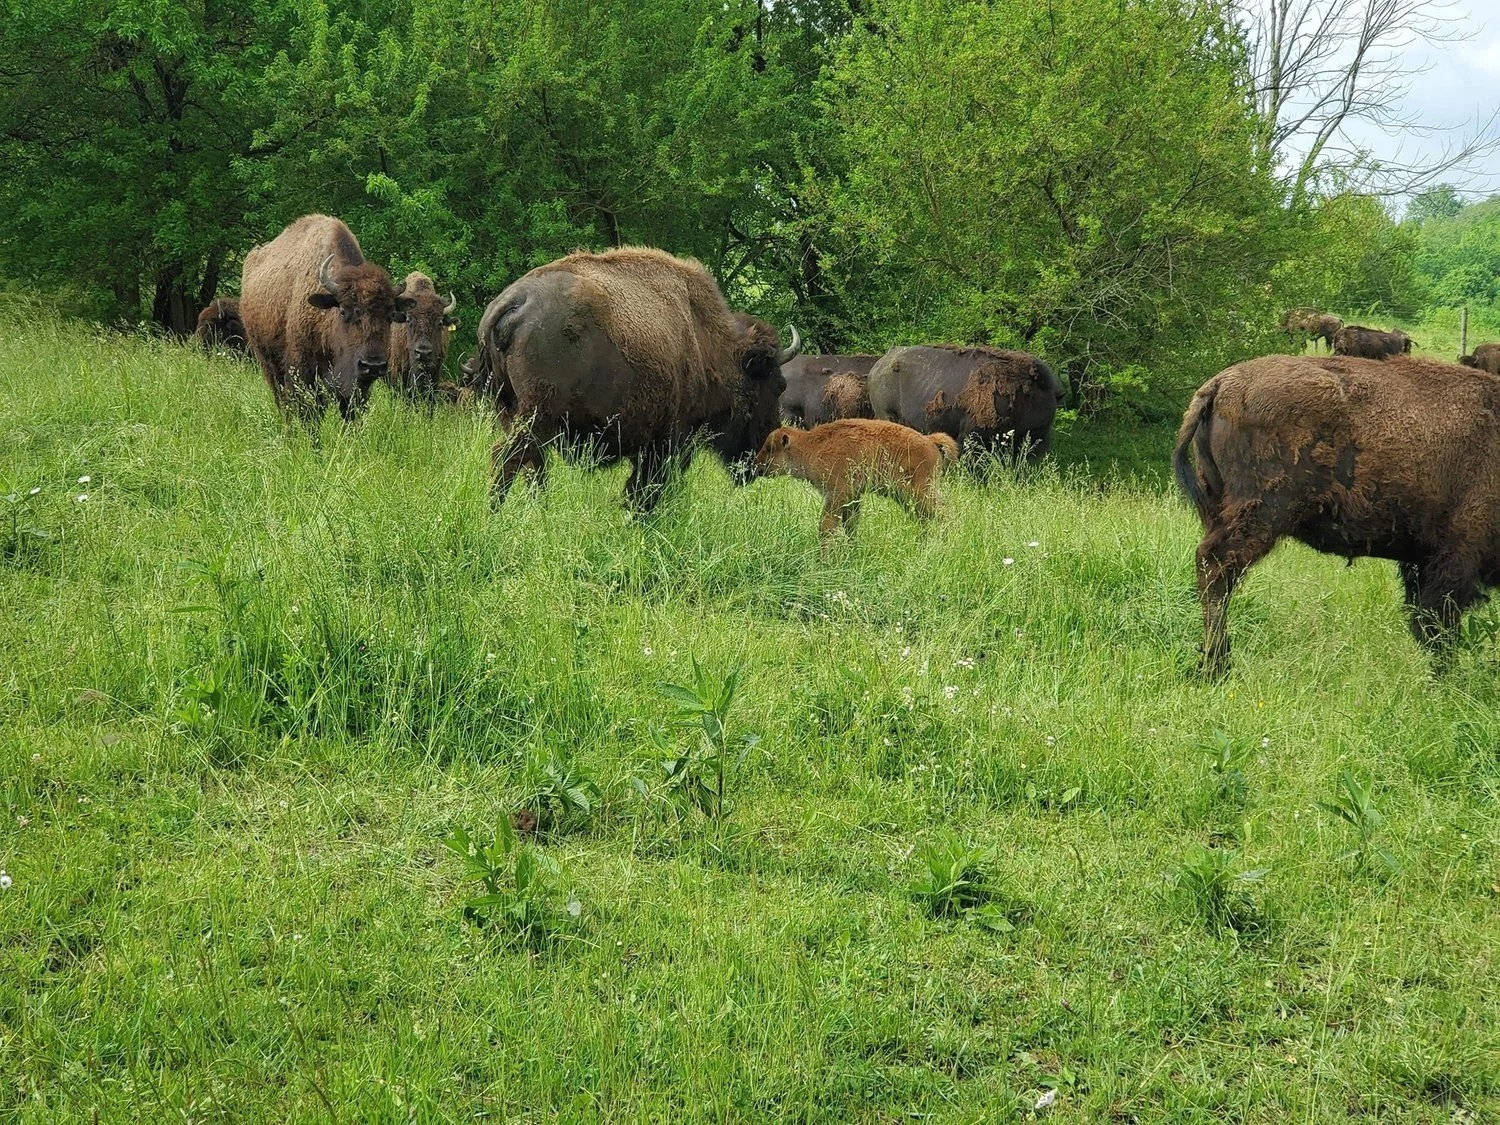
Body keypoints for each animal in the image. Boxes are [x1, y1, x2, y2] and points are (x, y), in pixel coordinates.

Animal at [241, 214, 414, 421]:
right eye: (343, 311)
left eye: (390, 315)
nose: (372, 365)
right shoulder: (303, 373)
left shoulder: (357, 388)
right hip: (267, 361)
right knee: (282, 401)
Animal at [469, 246, 801, 509]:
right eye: (778, 386)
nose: (765, 451)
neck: (707, 343)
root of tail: (514, 301)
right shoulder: (668, 443)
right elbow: (645, 490)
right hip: (536, 416)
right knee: (507, 458)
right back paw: (494, 516)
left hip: (513, 413)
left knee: (532, 467)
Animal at [1174, 354, 1500, 675]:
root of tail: (1220, 384)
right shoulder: (1455, 557)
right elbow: (1438, 627)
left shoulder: (1422, 562)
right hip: (1261, 513)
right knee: (1216, 567)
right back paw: (1217, 668)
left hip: (1219, 510)